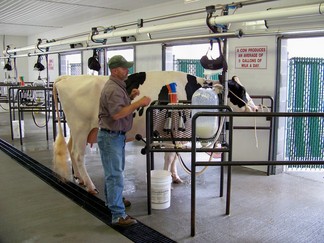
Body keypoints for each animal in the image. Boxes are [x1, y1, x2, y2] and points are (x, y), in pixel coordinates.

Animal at [52, 70, 256, 194]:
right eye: (239, 90)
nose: (254, 108)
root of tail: (67, 77)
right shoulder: (171, 132)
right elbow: (169, 157)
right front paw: (166, 179)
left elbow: (173, 157)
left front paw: (175, 177)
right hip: (80, 127)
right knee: (78, 155)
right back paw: (90, 185)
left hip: (78, 129)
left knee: (70, 149)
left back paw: (79, 179)